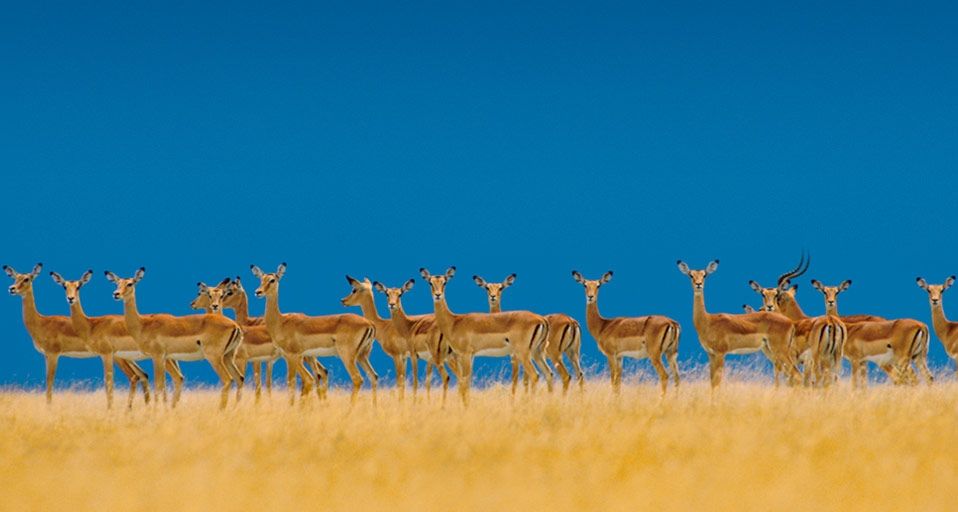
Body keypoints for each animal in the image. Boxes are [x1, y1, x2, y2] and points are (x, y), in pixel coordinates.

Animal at [51, 269, 179, 408]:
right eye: (64, 286)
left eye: (79, 286)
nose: (71, 298)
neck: (92, 325)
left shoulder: (107, 355)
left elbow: (109, 383)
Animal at [105, 268, 245, 408]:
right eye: (117, 283)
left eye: (130, 283)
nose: (116, 294)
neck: (143, 325)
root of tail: (235, 325)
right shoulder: (165, 358)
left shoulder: (157, 356)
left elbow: (159, 385)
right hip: (228, 357)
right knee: (239, 378)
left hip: (214, 358)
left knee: (227, 379)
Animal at [250, 263, 377, 402]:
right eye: (261, 279)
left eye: (272, 280)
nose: (258, 292)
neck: (280, 321)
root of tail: (369, 323)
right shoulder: (294, 357)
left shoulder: (292, 356)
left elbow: (292, 383)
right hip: (362, 356)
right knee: (373, 376)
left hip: (347, 356)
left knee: (357, 379)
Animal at [420, 267, 549, 402]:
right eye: (430, 282)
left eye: (444, 282)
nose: (437, 295)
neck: (454, 322)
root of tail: (540, 319)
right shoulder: (469, 356)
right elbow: (467, 383)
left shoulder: (466, 355)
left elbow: (465, 382)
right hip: (537, 353)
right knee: (548, 374)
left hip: (523, 354)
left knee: (535, 376)